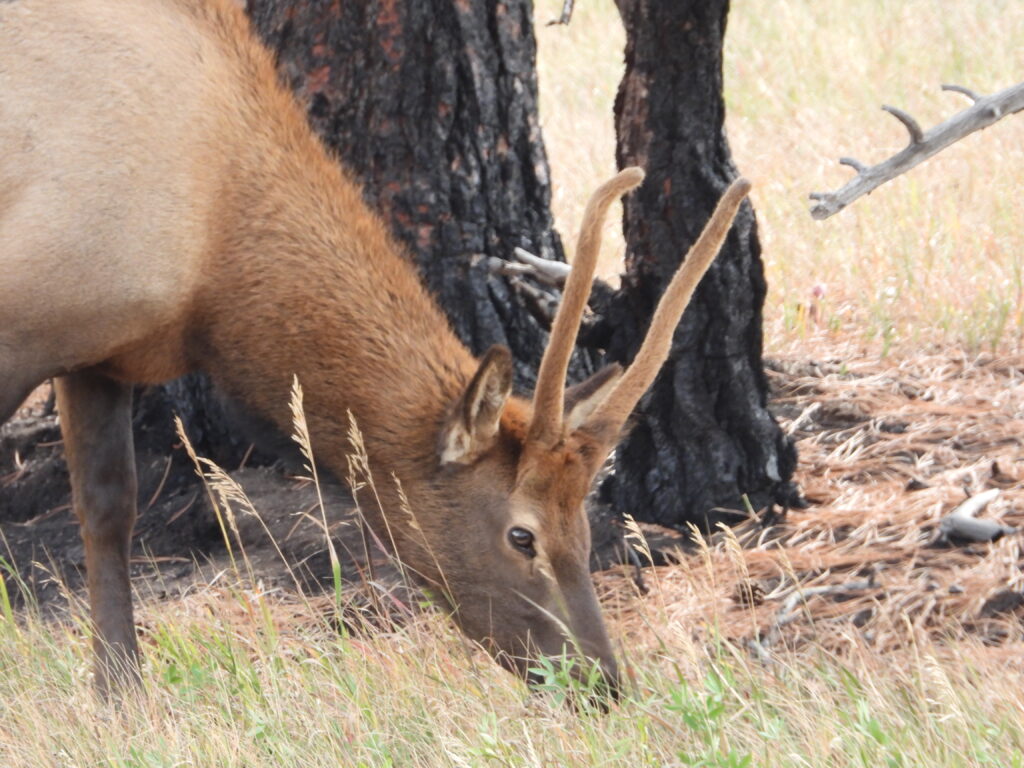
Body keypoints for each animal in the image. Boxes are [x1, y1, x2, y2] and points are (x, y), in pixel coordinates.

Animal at [0, 0, 751, 698]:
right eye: (522, 535)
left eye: (587, 528)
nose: (600, 680)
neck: (208, 274)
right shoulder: (26, 329)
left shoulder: (101, 350)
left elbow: (109, 510)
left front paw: (120, 698)